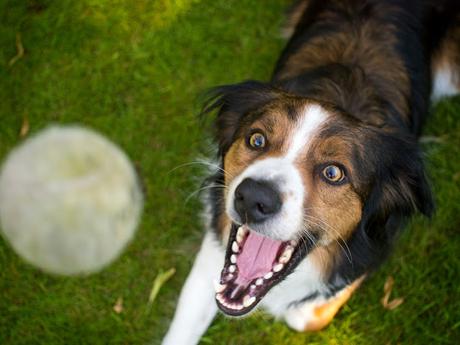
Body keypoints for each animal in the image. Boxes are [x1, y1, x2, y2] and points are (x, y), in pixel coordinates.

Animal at [161, 1, 456, 342]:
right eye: (256, 139)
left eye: (333, 173)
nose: (253, 198)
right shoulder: (214, 247)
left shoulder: (374, 246)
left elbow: (308, 311)